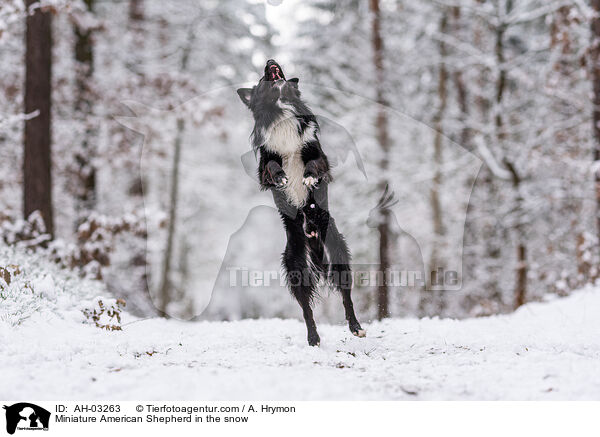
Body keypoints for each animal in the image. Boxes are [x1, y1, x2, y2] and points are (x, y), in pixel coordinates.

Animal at [239, 59, 366, 344]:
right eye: (262, 80)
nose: (269, 61)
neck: (281, 112)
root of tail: (313, 240)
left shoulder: (318, 153)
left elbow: (314, 164)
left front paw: (307, 178)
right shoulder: (264, 163)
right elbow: (273, 167)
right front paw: (282, 178)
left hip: (338, 254)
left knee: (346, 296)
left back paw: (355, 326)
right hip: (296, 266)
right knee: (306, 308)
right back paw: (313, 337)